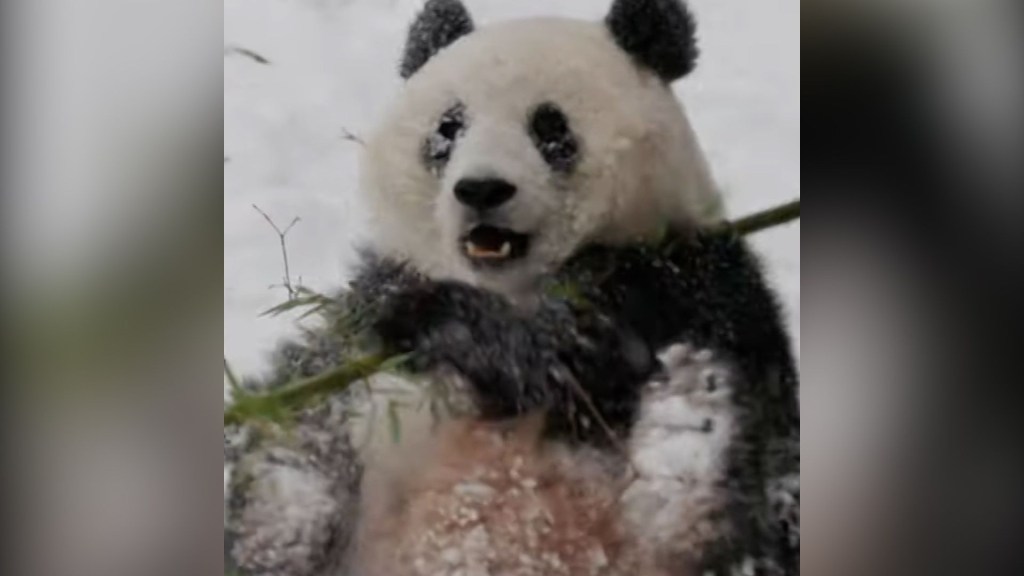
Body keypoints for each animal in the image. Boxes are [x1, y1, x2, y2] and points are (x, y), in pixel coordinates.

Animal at [224, 1, 798, 573]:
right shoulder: (366, 307)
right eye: (449, 126)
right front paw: (280, 526)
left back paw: (686, 425)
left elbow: (554, 360)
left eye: (551, 128)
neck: (507, 286)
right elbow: (299, 425)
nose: (481, 189)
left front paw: (431, 314)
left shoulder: (670, 278)